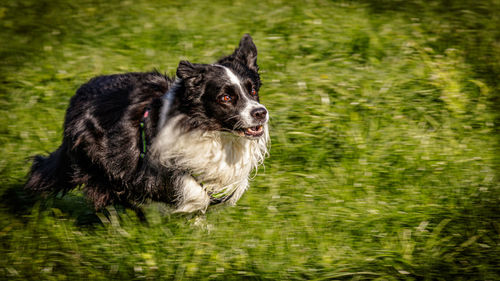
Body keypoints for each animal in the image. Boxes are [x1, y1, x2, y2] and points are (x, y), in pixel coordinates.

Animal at [25, 34, 270, 212]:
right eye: (226, 98)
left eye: (253, 90)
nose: (261, 113)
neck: (212, 131)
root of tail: (79, 93)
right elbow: (187, 188)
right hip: (91, 156)